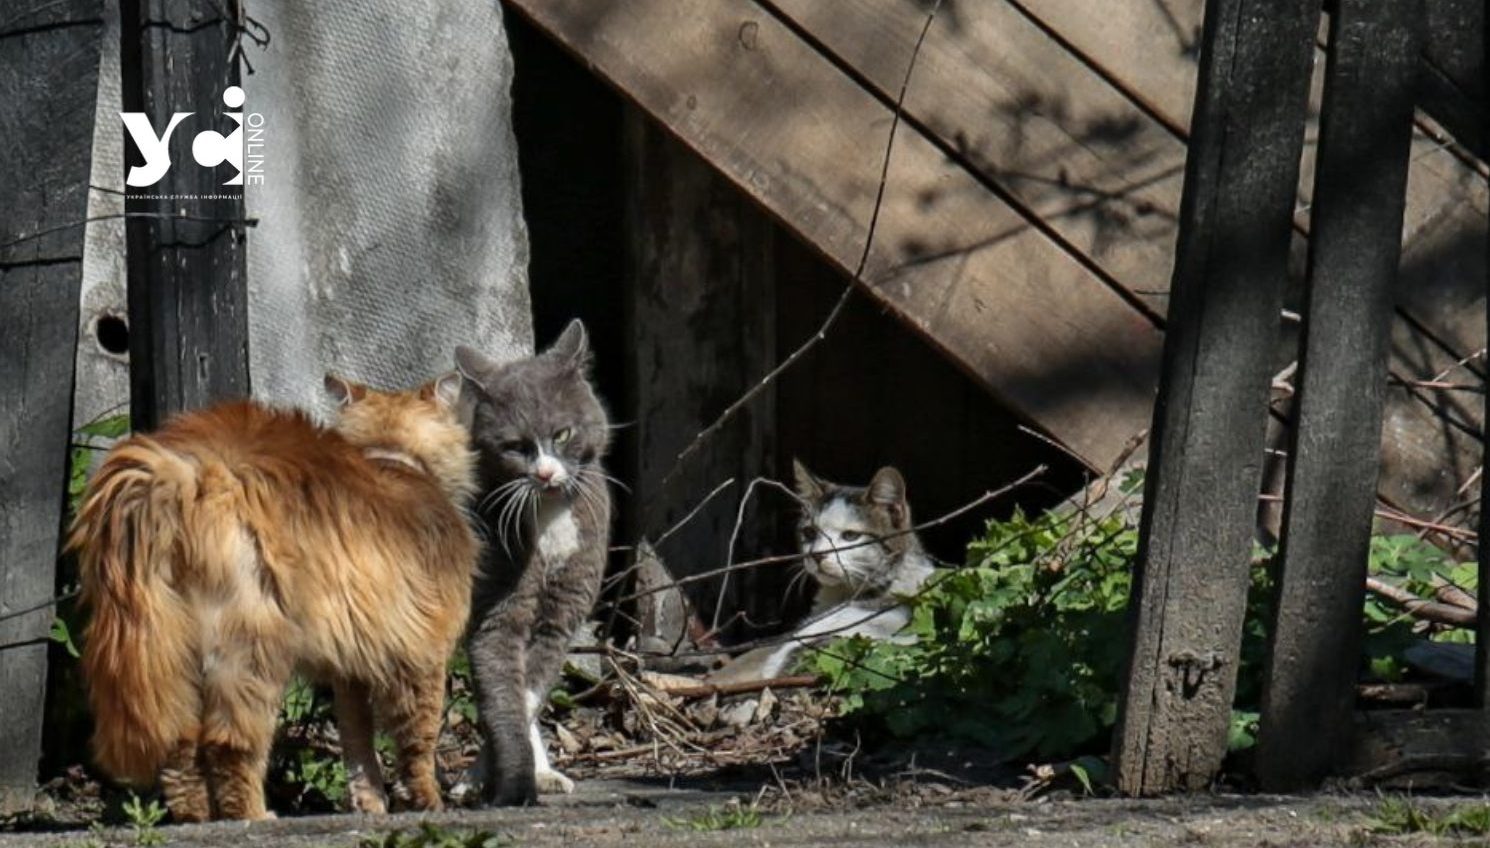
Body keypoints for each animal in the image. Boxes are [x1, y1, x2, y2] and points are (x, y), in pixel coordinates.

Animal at [68, 372, 476, 822]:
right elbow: (419, 740)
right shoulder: (424, 654)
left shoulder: (351, 671)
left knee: (181, 746)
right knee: (229, 744)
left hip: (172, 651)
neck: (395, 459)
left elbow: (357, 747)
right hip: (254, 648)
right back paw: (252, 816)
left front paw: (370, 805)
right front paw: (425, 802)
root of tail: (186, 471)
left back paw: (199, 818)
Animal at [455, 318, 613, 804]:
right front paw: (506, 785)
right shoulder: (497, 603)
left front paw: (521, 775)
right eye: (516, 446)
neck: (547, 514)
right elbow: (502, 692)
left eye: (562, 435)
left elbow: (526, 694)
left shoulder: (564, 606)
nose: (544, 473)